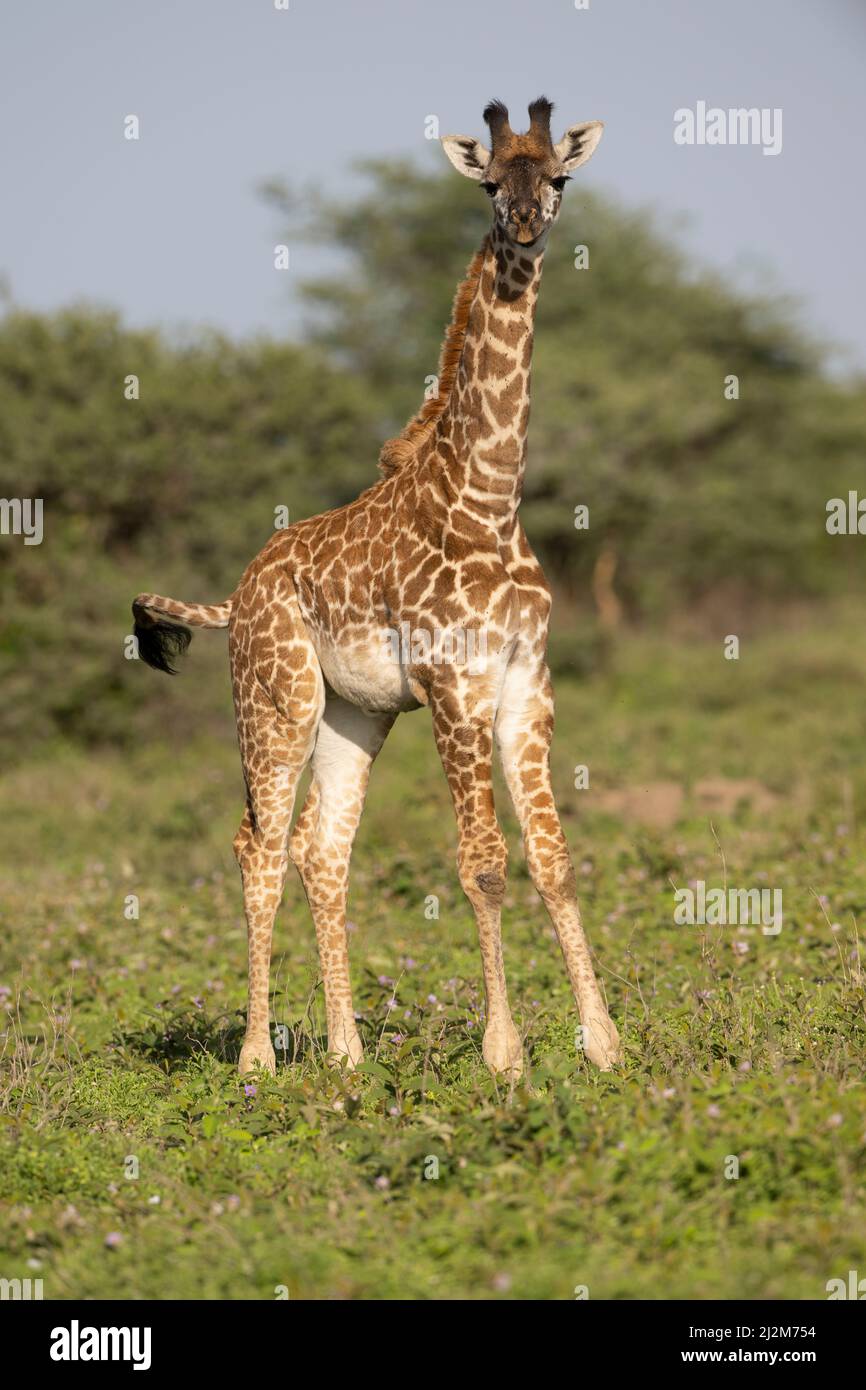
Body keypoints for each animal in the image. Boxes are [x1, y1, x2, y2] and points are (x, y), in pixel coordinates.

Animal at [132, 97, 619, 1078]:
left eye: (558, 176)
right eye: (488, 182)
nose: (525, 226)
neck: (487, 497)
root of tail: (235, 596)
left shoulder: (526, 683)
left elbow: (552, 856)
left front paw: (604, 1043)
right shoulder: (454, 685)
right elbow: (483, 861)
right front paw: (505, 1053)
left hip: (354, 713)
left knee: (321, 852)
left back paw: (348, 1052)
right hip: (275, 701)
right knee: (258, 845)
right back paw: (257, 1059)